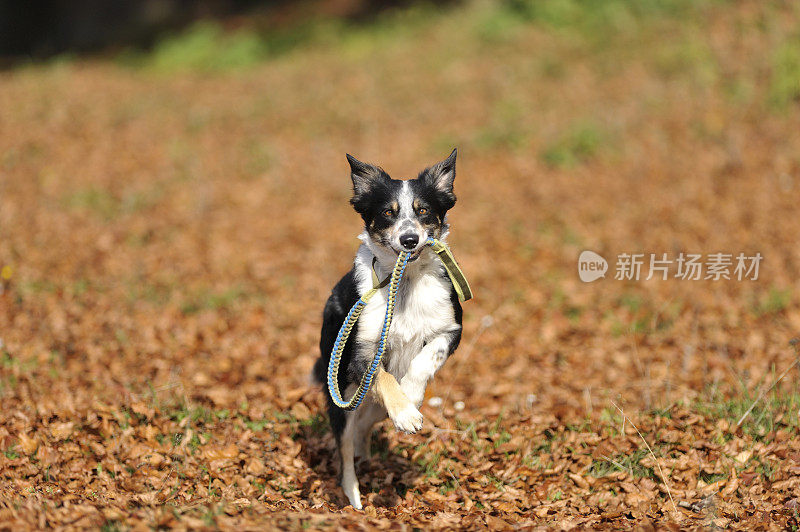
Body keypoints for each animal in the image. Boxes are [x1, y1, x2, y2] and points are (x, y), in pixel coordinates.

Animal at [312, 149, 462, 508]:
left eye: (424, 211)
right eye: (387, 213)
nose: (409, 239)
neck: (404, 282)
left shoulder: (451, 328)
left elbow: (424, 359)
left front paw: (411, 398)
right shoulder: (360, 351)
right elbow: (382, 376)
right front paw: (406, 413)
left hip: (369, 407)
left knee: (364, 426)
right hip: (341, 393)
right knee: (345, 450)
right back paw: (354, 497)